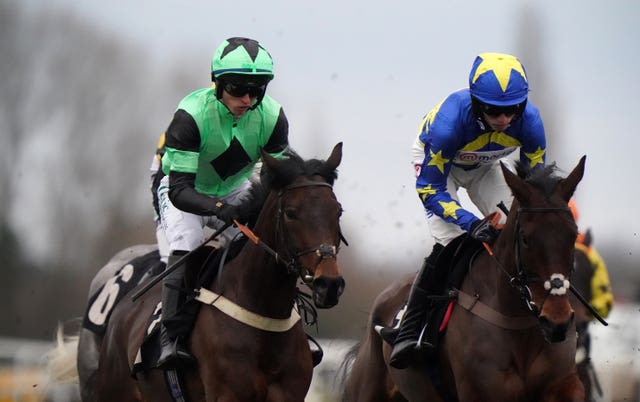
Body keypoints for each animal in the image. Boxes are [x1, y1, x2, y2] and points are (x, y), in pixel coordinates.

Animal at [342, 157, 588, 402]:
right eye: (525, 238)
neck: (518, 324)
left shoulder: (564, 383)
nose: (557, 321)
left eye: (573, 234)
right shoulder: (480, 391)